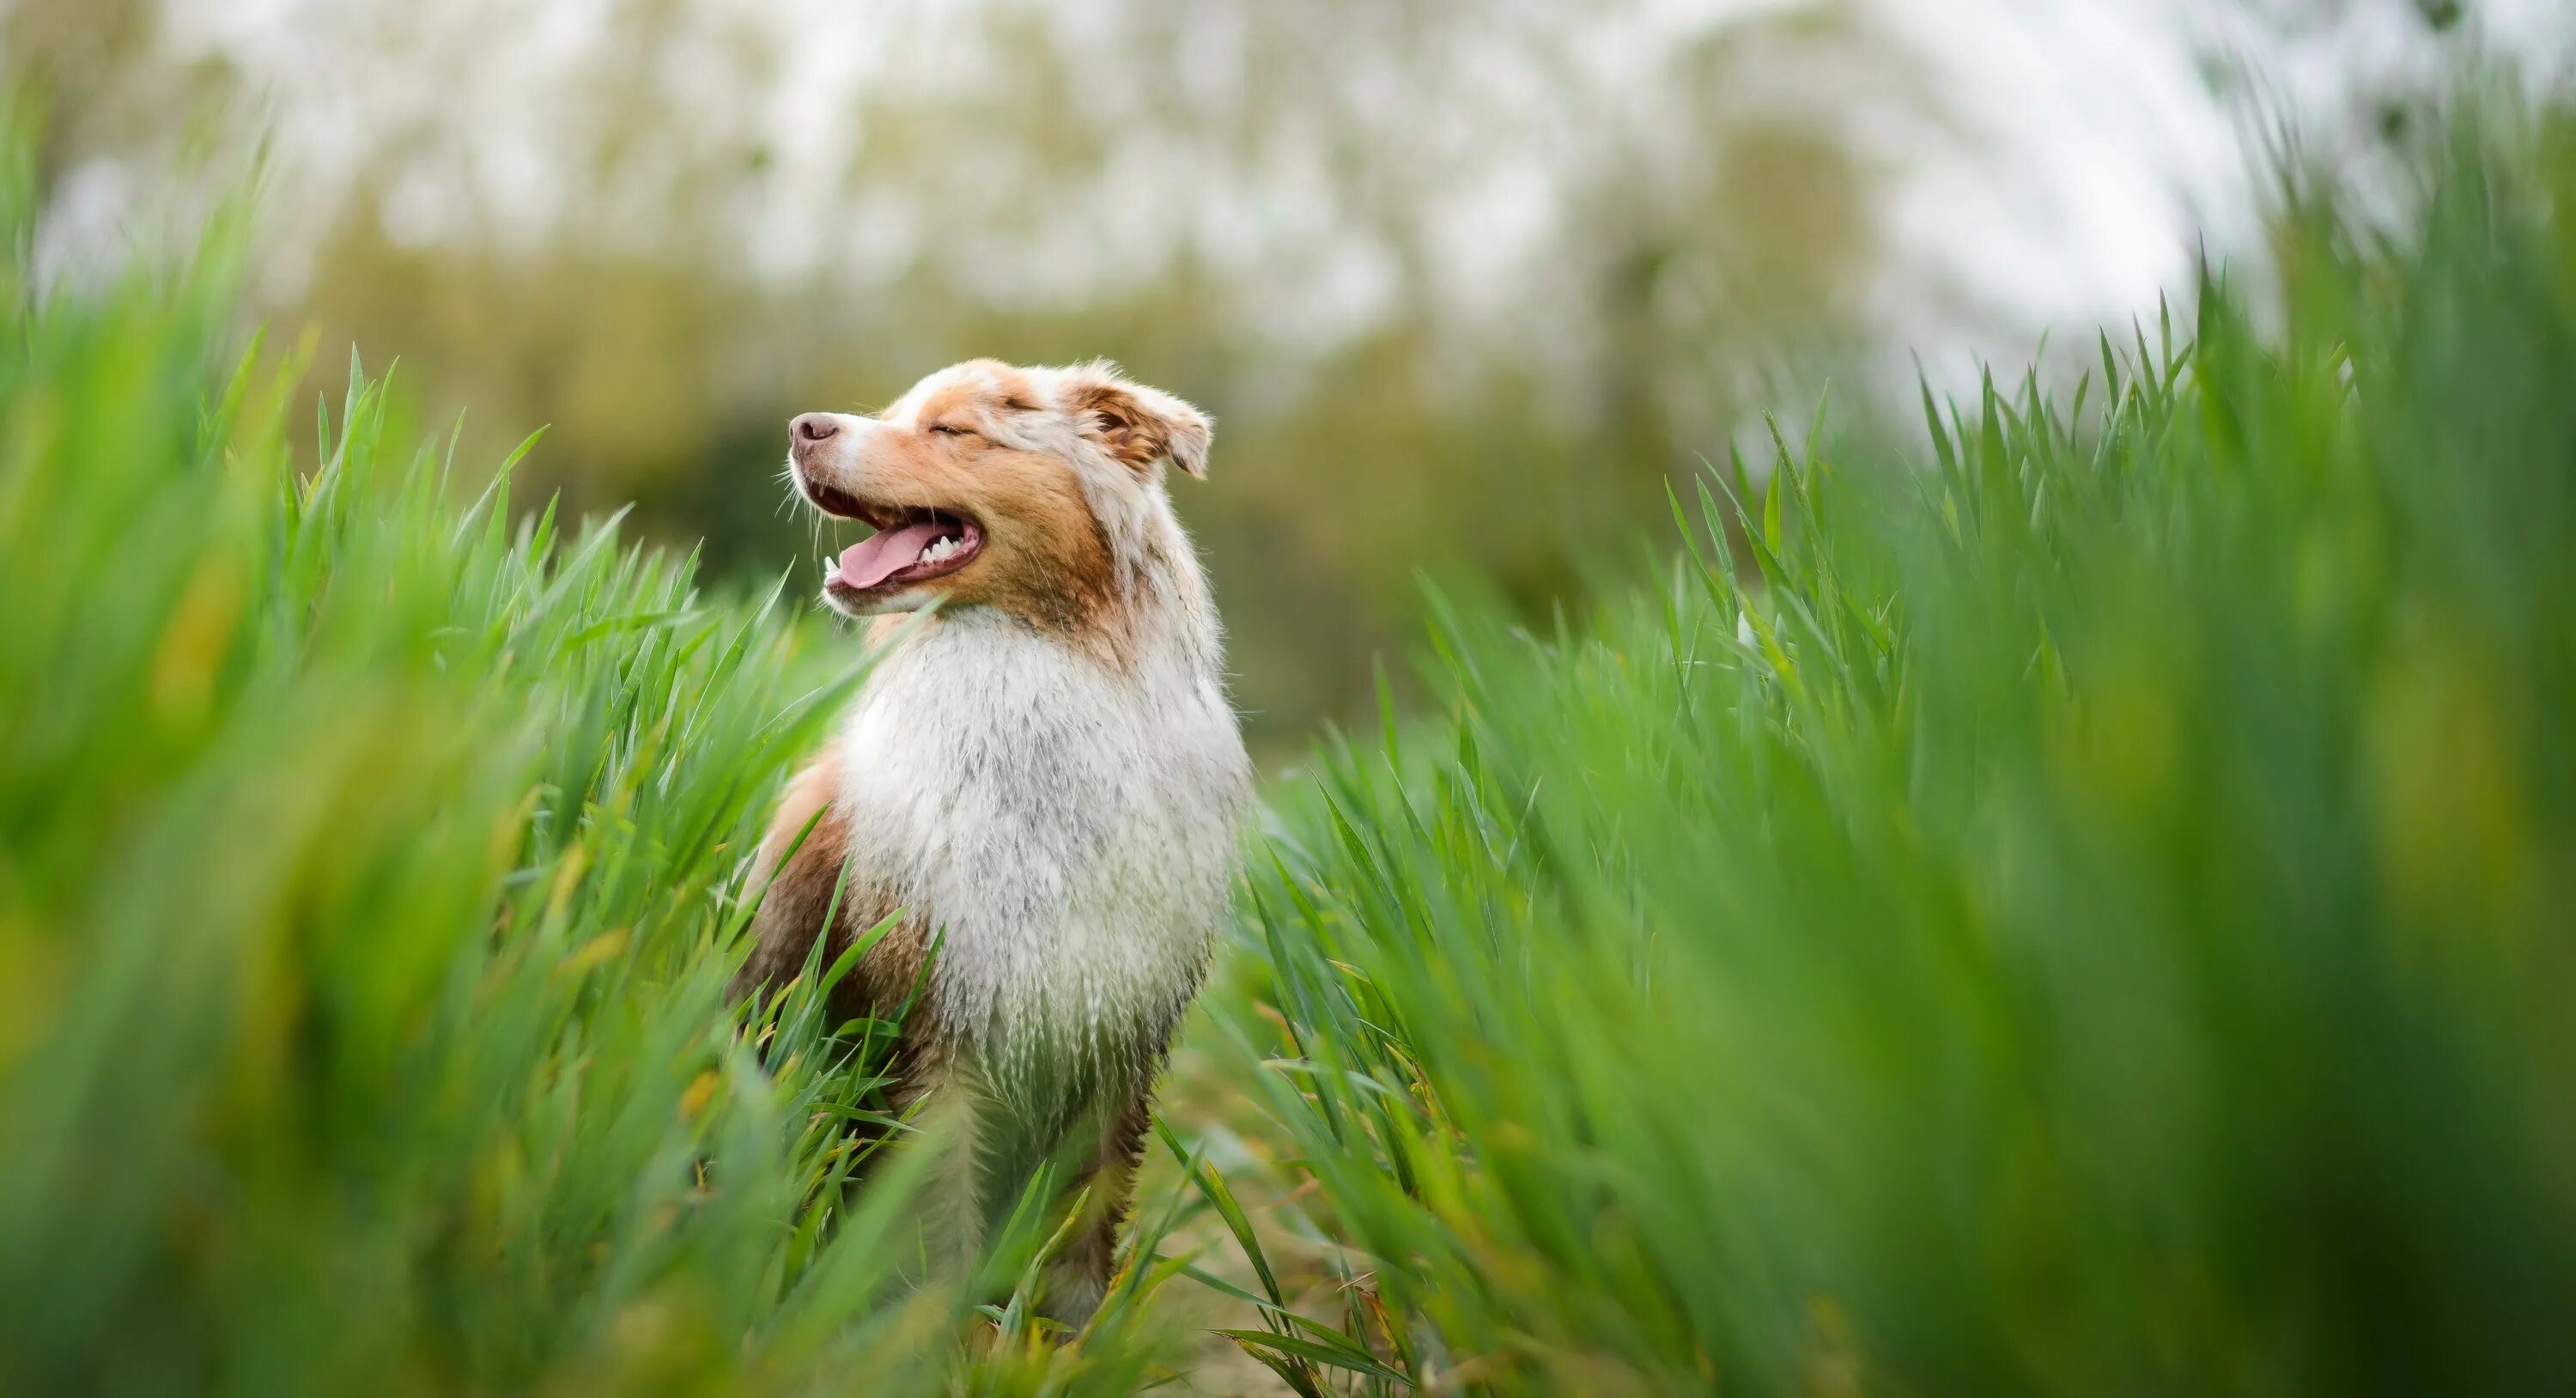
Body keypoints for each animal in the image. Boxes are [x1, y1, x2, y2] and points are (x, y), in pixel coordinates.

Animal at [737, 357, 1247, 1328]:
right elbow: (939, 1228)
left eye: (952, 431)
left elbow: (1083, 1234)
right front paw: (940, 1342)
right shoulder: (935, 1021)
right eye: (896, 412)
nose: (802, 427)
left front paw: (1066, 1341)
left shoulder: (1120, 1027)